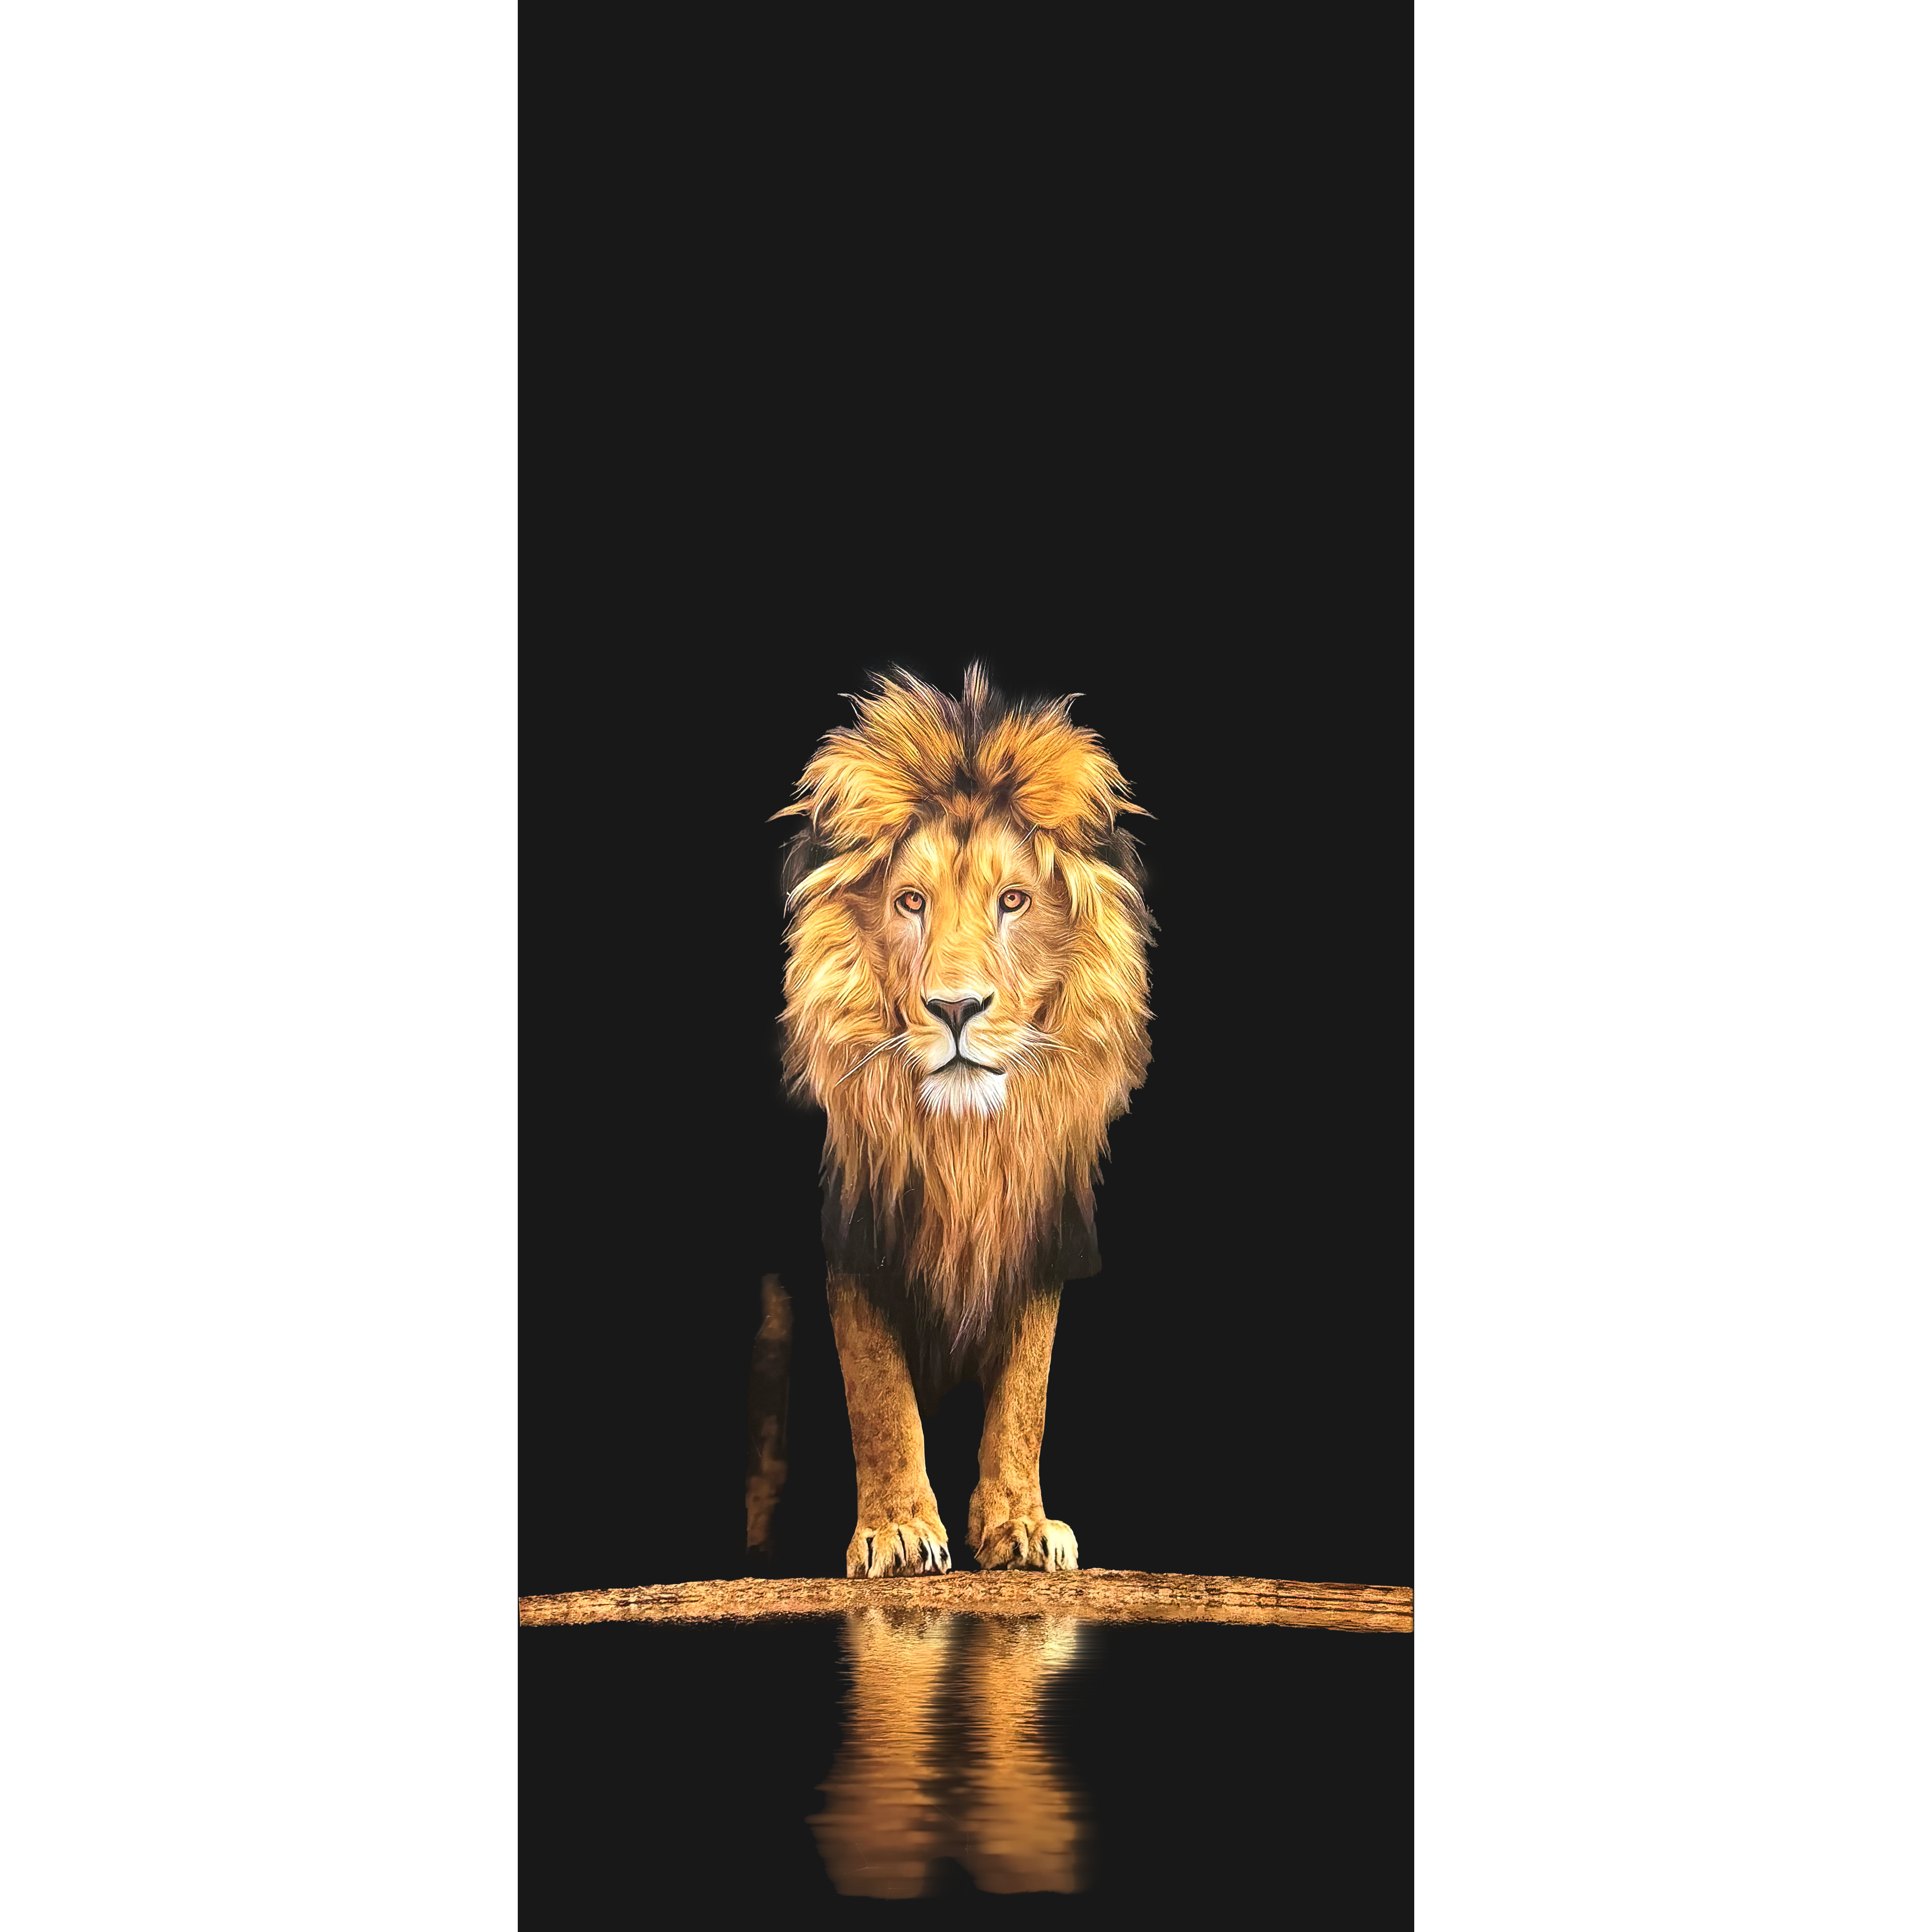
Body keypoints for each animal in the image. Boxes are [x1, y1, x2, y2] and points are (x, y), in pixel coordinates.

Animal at [775, 664, 1153, 1577]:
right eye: (911, 902)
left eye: (1013, 900)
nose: (954, 1008)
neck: (965, 1142)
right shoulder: (851, 1232)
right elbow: (877, 1389)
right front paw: (898, 1531)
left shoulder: (1041, 1227)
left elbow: (1026, 1391)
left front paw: (1019, 1525)